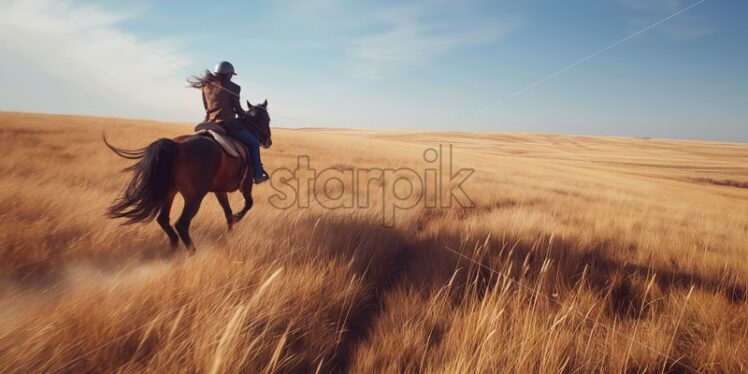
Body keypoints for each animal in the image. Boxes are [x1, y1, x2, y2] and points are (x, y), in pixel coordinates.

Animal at [102, 99, 272, 251]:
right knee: (181, 224)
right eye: (268, 119)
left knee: (163, 219)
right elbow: (248, 204)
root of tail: (176, 146)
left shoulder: (220, 191)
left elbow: (228, 213)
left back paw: (173, 247)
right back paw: (192, 252)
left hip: (170, 192)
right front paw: (237, 219)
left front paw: (230, 234)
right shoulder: (246, 184)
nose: (268, 141)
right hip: (194, 197)